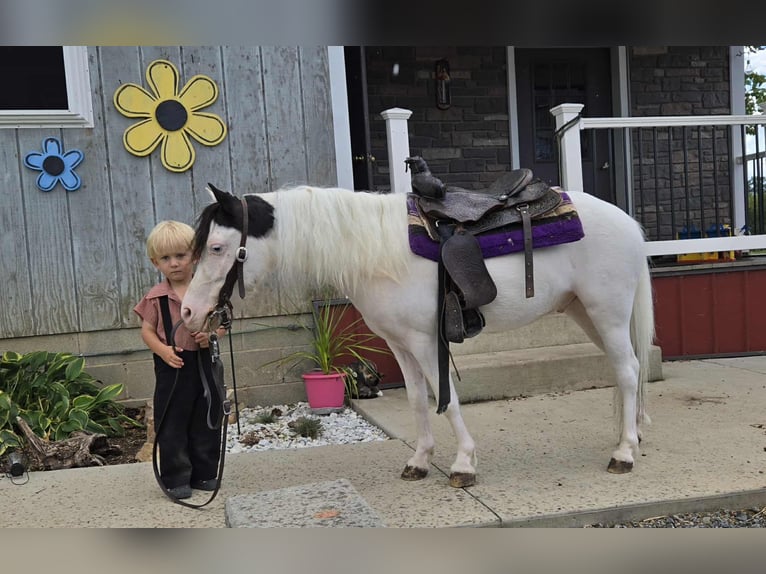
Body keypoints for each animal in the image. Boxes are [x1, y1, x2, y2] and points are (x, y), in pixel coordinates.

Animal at [181, 183, 654, 488]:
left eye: (217, 248)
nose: (189, 311)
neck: (375, 250)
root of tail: (628, 223)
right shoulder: (399, 344)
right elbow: (416, 400)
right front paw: (420, 461)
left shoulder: (428, 342)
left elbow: (448, 401)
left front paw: (463, 464)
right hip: (586, 313)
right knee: (626, 369)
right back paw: (631, 436)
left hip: (607, 312)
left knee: (628, 371)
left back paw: (624, 453)